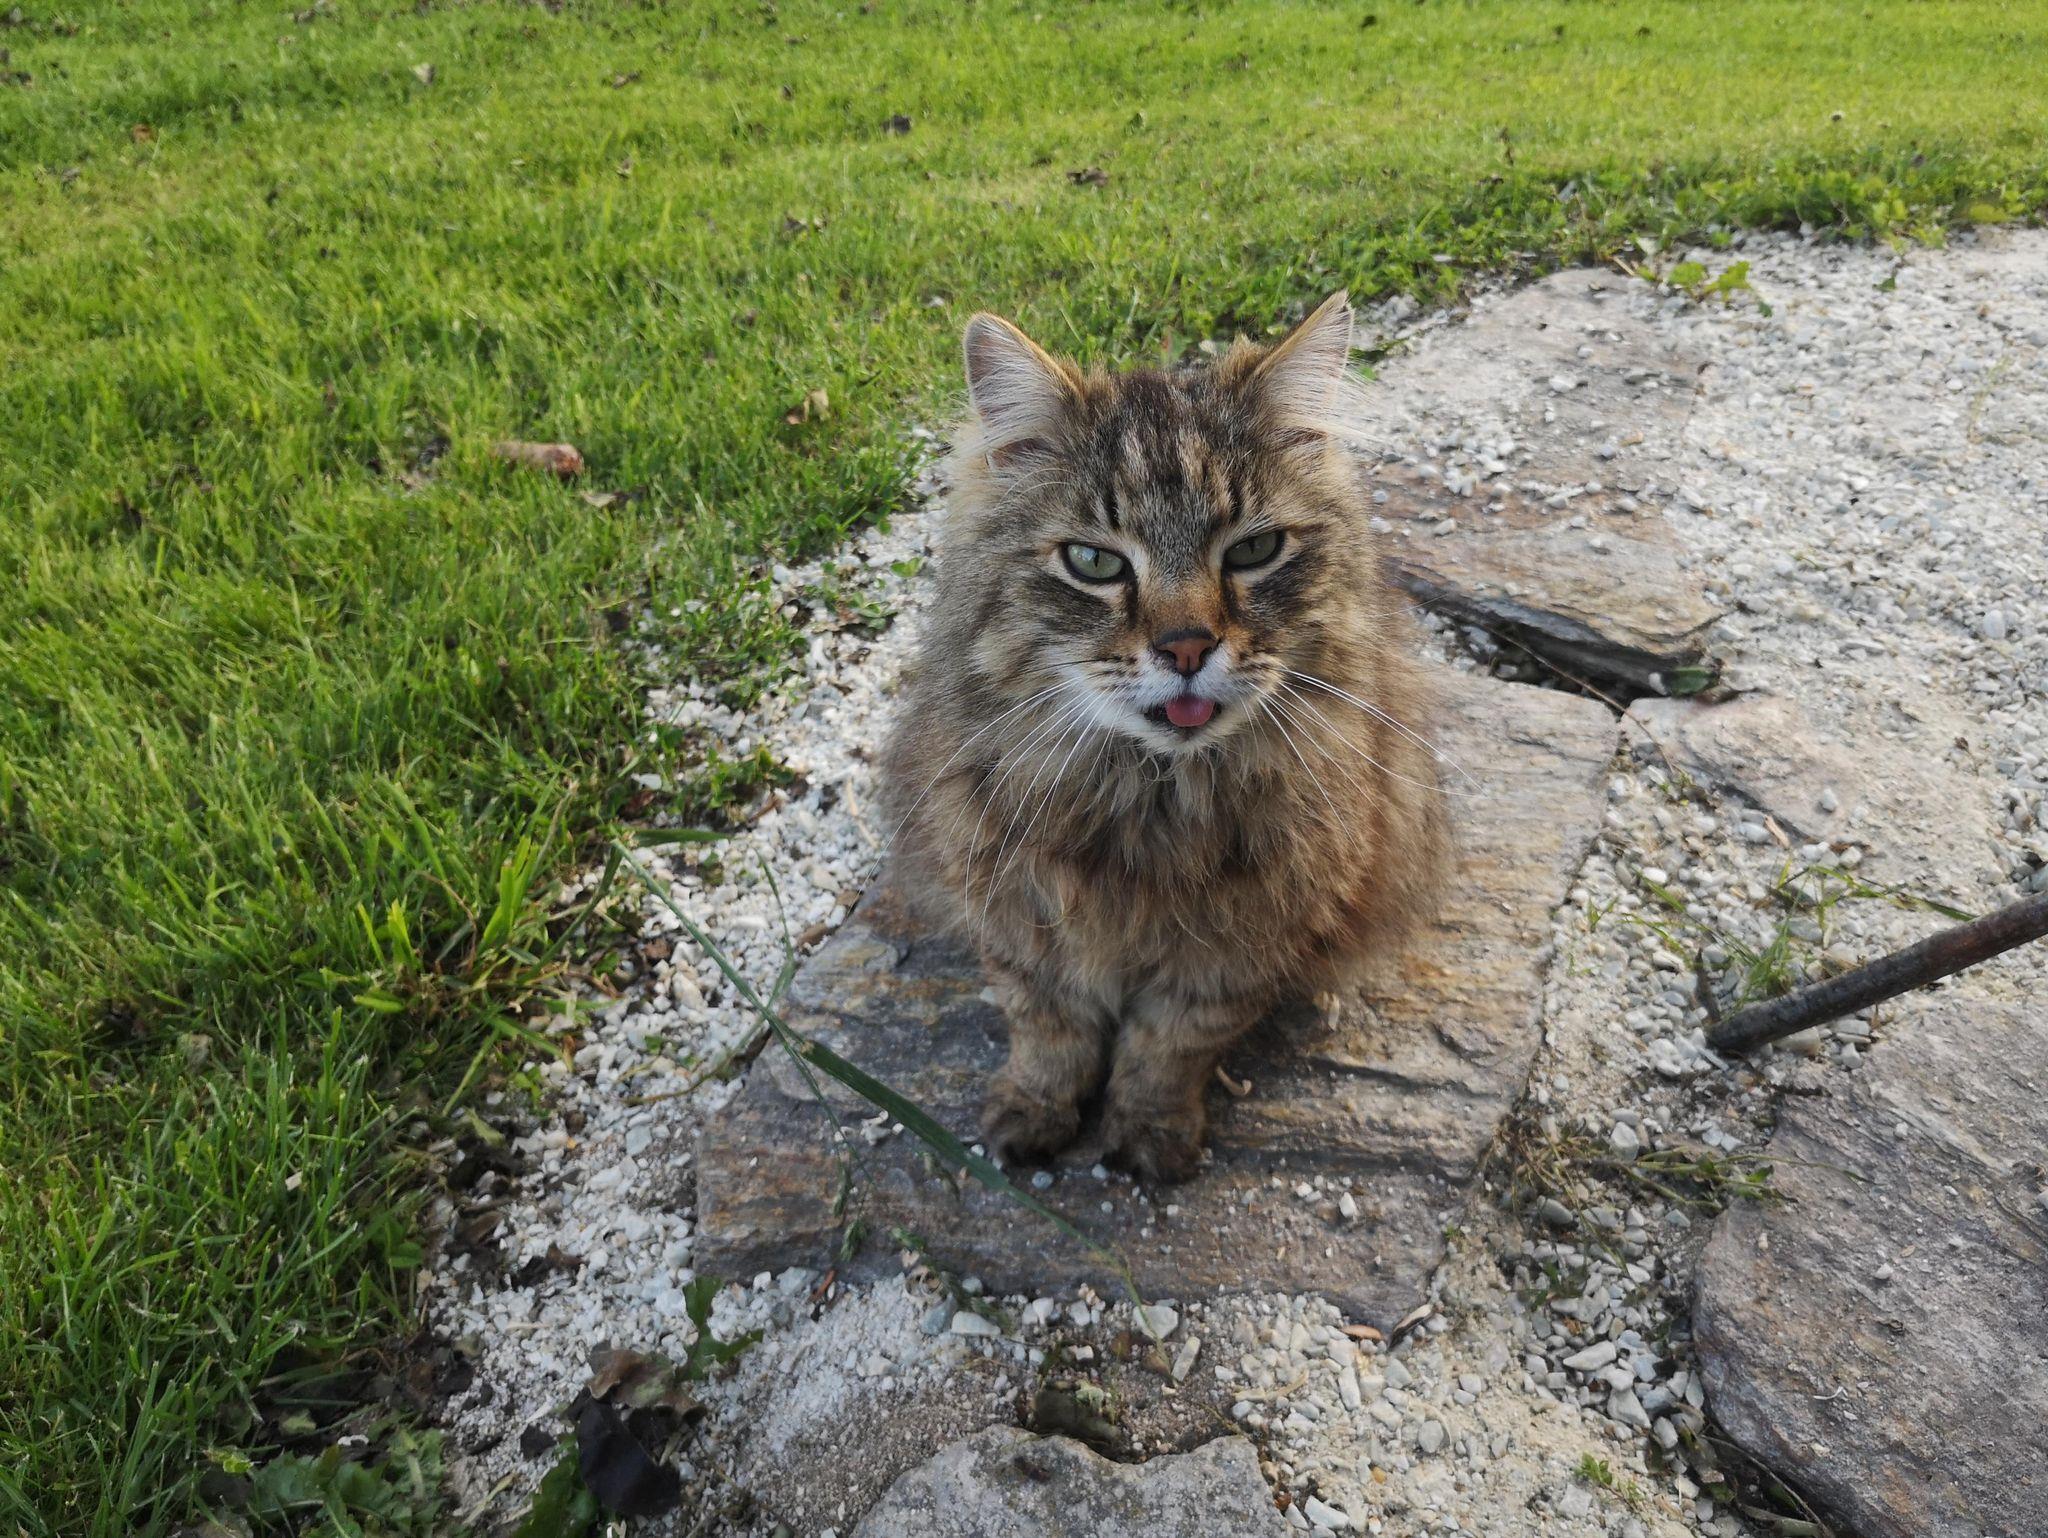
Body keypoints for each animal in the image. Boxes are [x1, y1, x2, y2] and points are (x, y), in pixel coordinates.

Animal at [881, 292, 1449, 1184]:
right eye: (1093, 562)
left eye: (1255, 549)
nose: (1186, 649)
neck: (1148, 799)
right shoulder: (1012, 919)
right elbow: (1045, 1031)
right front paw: (1033, 1114)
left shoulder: (1241, 948)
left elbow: (1168, 1047)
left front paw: (1147, 1136)